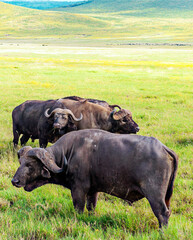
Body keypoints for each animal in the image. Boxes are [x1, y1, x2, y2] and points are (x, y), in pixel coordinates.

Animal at [11, 129, 178, 229]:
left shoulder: (78, 190)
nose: (14, 181)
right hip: (166, 196)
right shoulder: (93, 192)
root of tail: (163, 148)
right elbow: (91, 208)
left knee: (162, 213)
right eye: (20, 162)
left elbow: (79, 209)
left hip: (155, 195)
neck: (68, 153)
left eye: (30, 165)